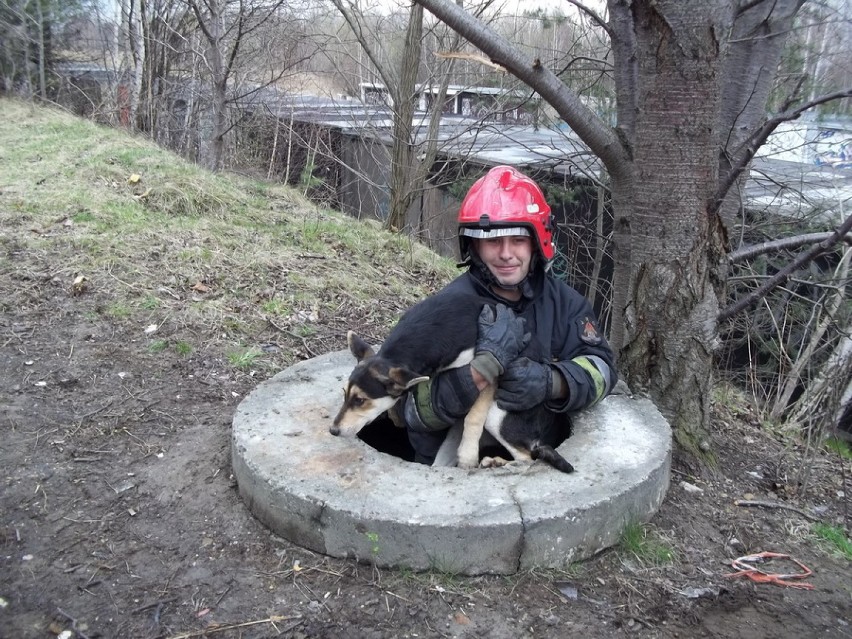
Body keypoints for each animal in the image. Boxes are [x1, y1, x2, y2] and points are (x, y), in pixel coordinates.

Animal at [330, 290, 576, 476]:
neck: (431, 327)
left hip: (497, 415)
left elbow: (473, 418)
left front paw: (468, 456)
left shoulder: (490, 370)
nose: (333, 430)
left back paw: (495, 462)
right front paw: (396, 414)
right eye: (344, 393)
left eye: (360, 400)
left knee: (527, 457)